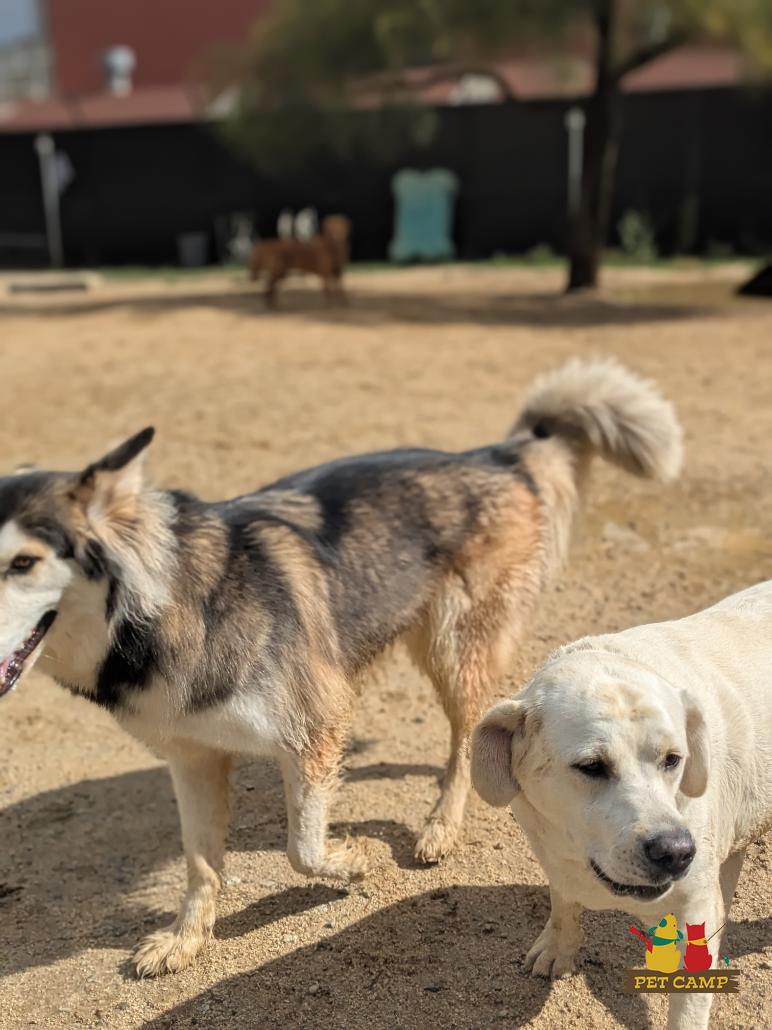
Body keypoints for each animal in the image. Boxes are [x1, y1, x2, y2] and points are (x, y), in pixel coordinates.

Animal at [0, 358, 681, 977]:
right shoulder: (193, 756)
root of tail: (494, 455)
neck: (171, 602)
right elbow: (199, 860)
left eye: (23, 562)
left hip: (455, 647)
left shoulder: (315, 724)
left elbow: (301, 847)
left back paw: (439, 827)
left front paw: (354, 859)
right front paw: (184, 939)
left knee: (466, 738)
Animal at [472, 581, 772, 1029]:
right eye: (592, 766)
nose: (675, 852)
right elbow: (563, 903)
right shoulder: (557, 858)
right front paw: (558, 948)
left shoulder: (694, 909)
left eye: (674, 759)